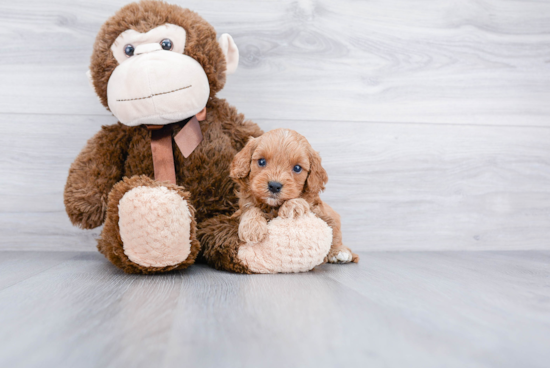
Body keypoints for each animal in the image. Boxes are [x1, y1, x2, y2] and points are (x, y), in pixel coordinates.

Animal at [231, 128, 360, 264]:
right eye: (261, 161)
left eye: (297, 168)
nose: (274, 186)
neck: (272, 206)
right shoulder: (242, 206)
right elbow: (249, 208)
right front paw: (252, 227)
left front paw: (292, 205)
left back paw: (340, 252)